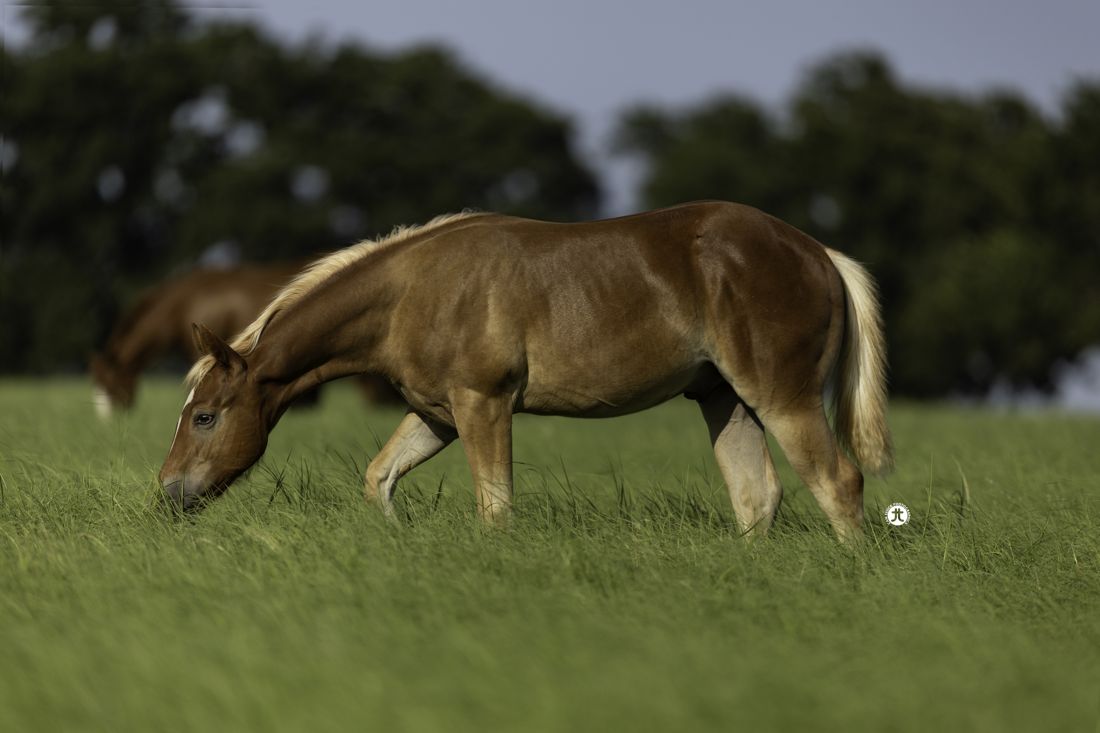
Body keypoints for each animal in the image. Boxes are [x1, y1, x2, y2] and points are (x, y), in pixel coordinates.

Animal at [158, 201, 893, 540]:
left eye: (205, 415)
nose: (167, 493)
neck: (411, 291)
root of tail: (819, 253)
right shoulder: (437, 415)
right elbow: (379, 478)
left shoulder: (483, 405)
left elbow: (495, 507)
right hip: (724, 399)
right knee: (756, 497)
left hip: (781, 398)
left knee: (838, 482)